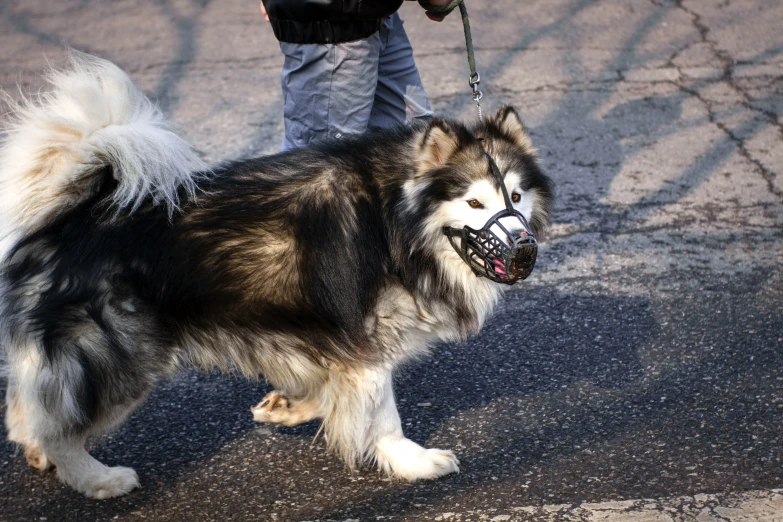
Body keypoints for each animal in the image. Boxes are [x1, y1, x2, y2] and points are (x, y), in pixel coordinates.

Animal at [0, 52, 556, 496]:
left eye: (516, 197)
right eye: (475, 202)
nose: (522, 251)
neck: (395, 222)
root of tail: (70, 215)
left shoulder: (332, 345)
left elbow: (331, 391)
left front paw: (287, 406)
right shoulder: (365, 343)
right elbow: (383, 413)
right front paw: (412, 461)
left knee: (28, 408)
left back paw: (39, 451)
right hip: (121, 354)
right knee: (57, 425)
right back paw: (95, 477)